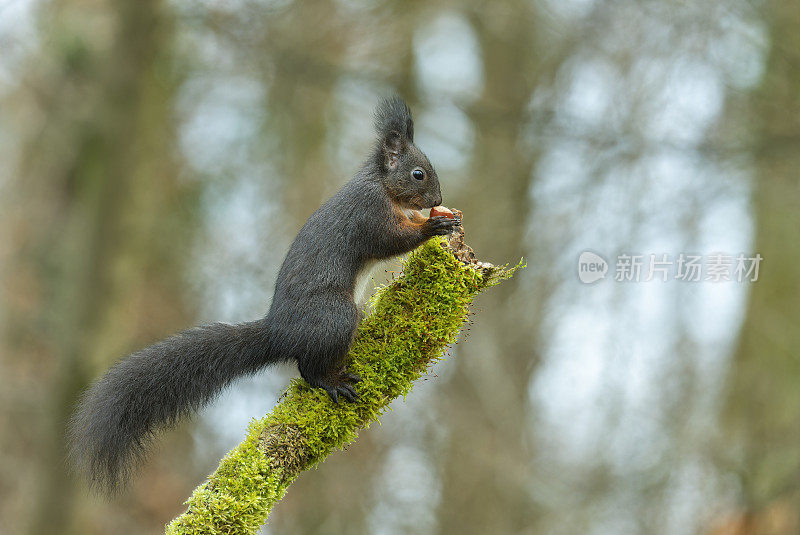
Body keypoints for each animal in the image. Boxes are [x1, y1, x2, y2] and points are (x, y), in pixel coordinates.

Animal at [69, 97, 462, 494]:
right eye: (418, 174)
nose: (438, 199)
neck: (382, 185)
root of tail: (279, 331)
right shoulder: (370, 214)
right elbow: (390, 241)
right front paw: (434, 225)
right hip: (336, 315)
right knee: (308, 368)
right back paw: (331, 382)